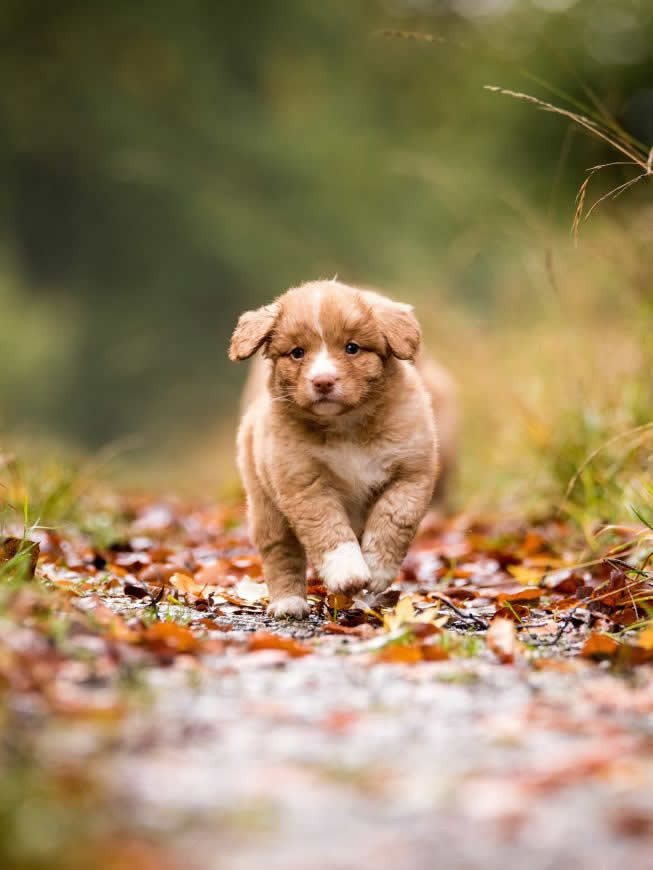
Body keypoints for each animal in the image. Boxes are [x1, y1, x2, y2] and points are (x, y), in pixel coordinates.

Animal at [228, 282, 438, 620]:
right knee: (281, 553)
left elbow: (393, 520)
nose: (323, 381)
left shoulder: (411, 474)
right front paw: (347, 573)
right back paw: (288, 602)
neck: (346, 428)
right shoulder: (304, 485)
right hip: (265, 507)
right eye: (297, 352)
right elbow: (328, 531)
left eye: (352, 348)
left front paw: (376, 570)